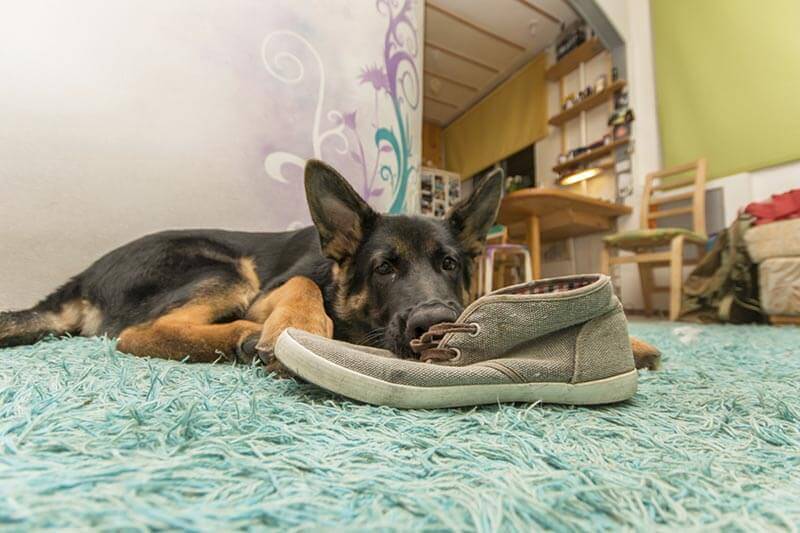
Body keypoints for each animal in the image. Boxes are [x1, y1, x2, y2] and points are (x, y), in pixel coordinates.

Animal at [0, 159, 656, 370]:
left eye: (449, 263)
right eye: (384, 269)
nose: (434, 324)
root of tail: (81, 277)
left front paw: (635, 342)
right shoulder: (280, 281)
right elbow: (301, 286)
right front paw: (299, 326)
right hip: (225, 267)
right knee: (139, 333)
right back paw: (242, 334)